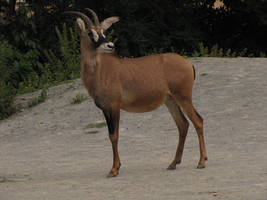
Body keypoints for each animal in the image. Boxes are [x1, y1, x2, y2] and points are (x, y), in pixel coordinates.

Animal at [65, 9, 209, 177]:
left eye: (102, 31)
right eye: (90, 32)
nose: (110, 45)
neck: (99, 70)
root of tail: (188, 63)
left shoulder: (115, 106)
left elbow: (114, 135)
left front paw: (114, 169)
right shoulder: (105, 109)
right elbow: (110, 135)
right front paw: (116, 167)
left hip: (183, 97)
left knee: (197, 120)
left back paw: (201, 162)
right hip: (170, 100)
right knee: (183, 124)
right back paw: (173, 163)